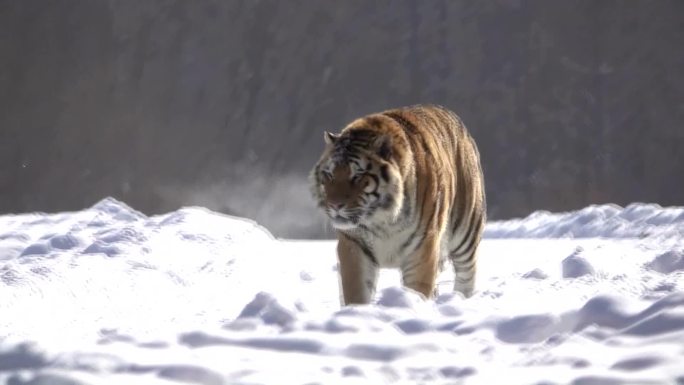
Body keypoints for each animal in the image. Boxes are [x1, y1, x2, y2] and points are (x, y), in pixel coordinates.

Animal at [310, 103, 486, 304]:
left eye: (357, 176)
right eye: (329, 175)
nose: (334, 205)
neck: (382, 221)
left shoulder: (422, 248)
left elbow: (418, 290)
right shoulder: (354, 246)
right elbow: (356, 291)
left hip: (466, 232)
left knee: (467, 274)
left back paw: (461, 299)